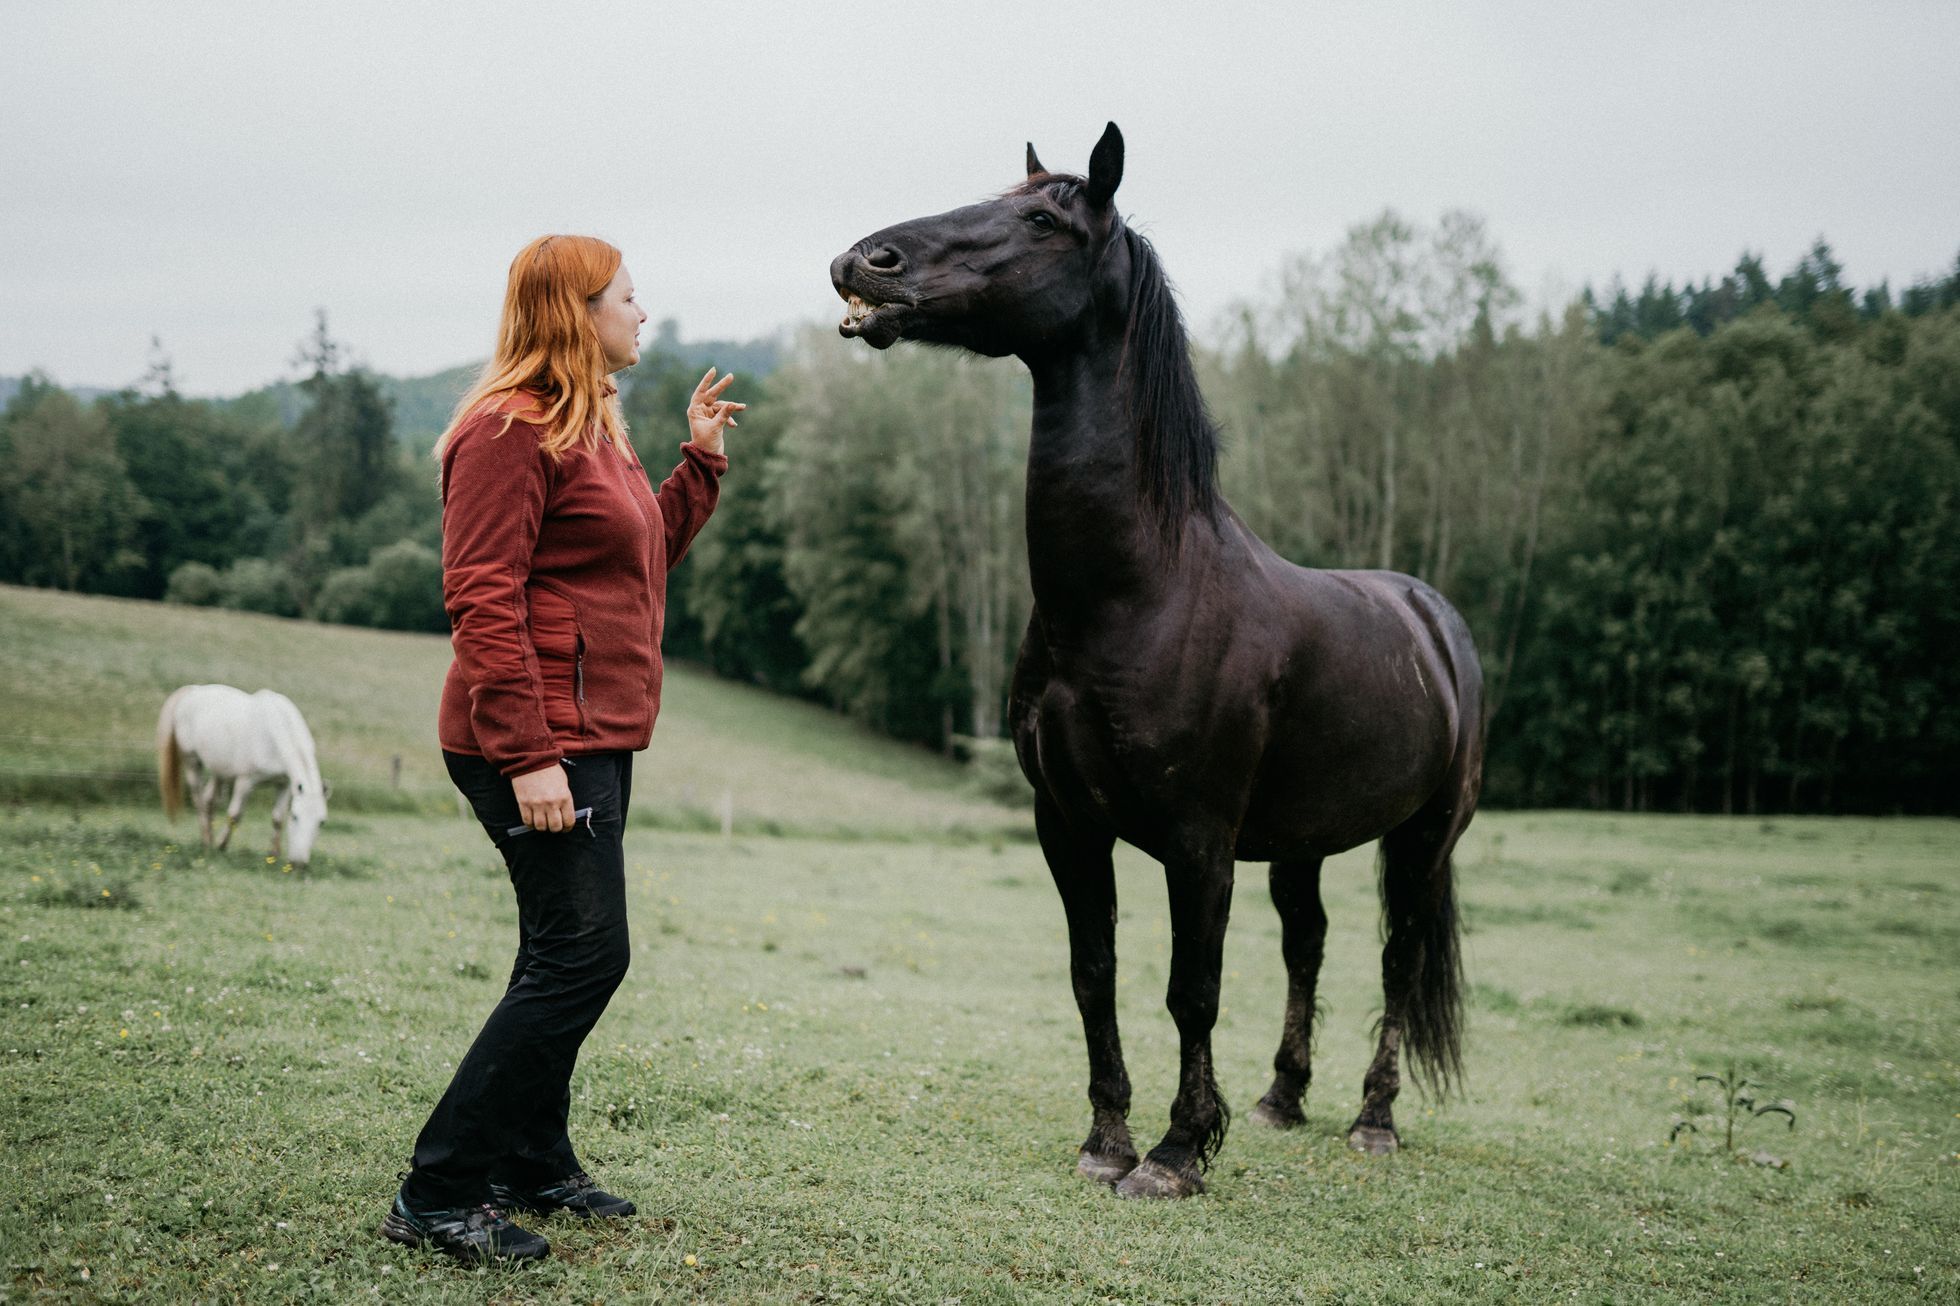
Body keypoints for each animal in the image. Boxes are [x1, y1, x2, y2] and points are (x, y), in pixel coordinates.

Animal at [156, 682, 329, 862]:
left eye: (321, 822)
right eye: (295, 816)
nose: (299, 863)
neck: (274, 733)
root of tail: (191, 691)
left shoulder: (284, 785)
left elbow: (277, 818)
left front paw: (273, 855)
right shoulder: (245, 782)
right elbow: (234, 816)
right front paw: (221, 846)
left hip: (219, 772)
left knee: (208, 800)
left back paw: (209, 839)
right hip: (192, 762)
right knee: (199, 801)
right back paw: (207, 841)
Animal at [831, 127, 1481, 1192]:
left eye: (1041, 220)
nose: (865, 262)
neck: (1139, 594)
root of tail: (1433, 619)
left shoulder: (1197, 839)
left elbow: (1193, 990)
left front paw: (1177, 1154)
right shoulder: (1066, 824)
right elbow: (1093, 972)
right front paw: (1107, 1140)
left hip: (1425, 839)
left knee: (1399, 959)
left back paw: (1373, 1119)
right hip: (1303, 842)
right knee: (1308, 943)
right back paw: (1282, 1099)